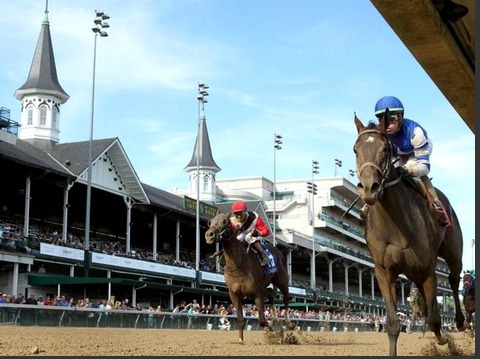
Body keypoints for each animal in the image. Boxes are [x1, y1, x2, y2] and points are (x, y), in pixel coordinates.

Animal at [203, 212, 296, 344]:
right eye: (210, 222)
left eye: (225, 221)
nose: (209, 235)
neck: (237, 264)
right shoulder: (235, 294)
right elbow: (240, 320)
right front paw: (240, 340)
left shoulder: (256, 293)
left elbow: (262, 320)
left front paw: (276, 334)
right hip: (264, 287)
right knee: (271, 294)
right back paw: (276, 320)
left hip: (281, 280)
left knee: (286, 297)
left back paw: (288, 323)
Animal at [352, 114, 464, 356]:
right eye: (356, 149)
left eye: (385, 148)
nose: (369, 188)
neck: (396, 225)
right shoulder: (384, 272)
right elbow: (394, 324)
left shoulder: (428, 271)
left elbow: (434, 319)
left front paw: (445, 341)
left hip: (453, 252)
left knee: (453, 280)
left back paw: (461, 322)